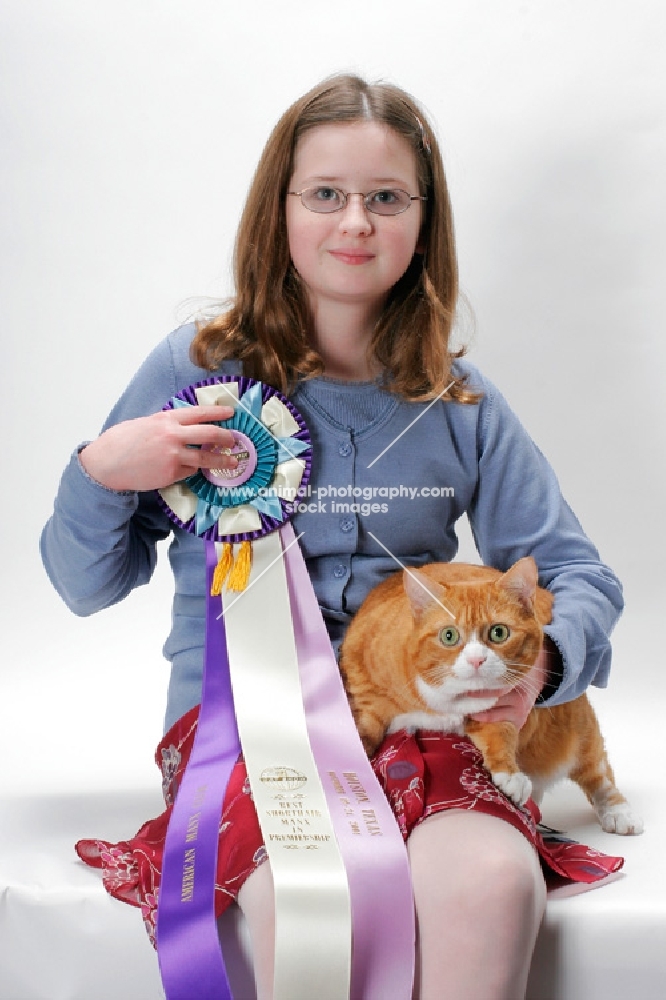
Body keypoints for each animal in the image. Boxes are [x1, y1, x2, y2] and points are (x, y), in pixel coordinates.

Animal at [340, 556, 640, 836]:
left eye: (499, 632)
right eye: (449, 636)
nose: (476, 659)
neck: (445, 703)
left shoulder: (503, 708)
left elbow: (501, 733)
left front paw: (509, 773)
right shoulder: (363, 691)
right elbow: (361, 733)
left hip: (579, 728)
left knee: (597, 771)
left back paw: (617, 811)